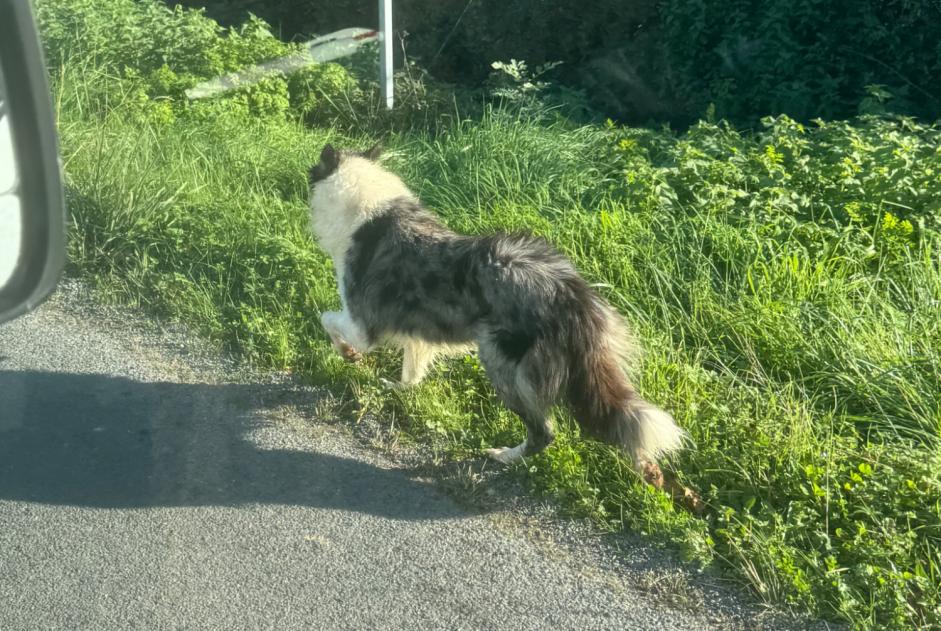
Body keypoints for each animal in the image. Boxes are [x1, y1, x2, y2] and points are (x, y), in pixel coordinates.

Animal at [308, 143, 684, 470]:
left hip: (500, 363)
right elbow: (412, 370)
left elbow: (326, 319)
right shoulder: (417, 332)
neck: (365, 208)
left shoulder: (361, 324)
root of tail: (567, 291)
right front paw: (400, 389)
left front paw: (348, 355)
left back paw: (504, 456)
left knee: (544, 432)